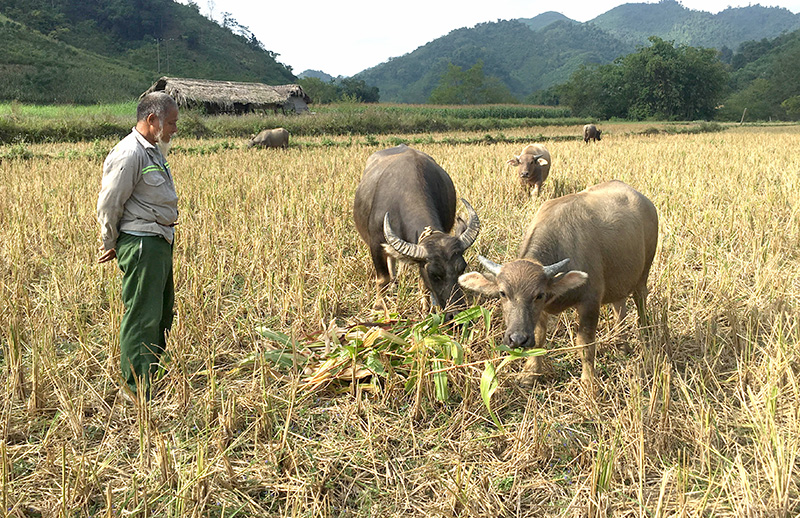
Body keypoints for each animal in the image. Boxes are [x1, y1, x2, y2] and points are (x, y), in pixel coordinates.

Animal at [356, 144, 482, 318]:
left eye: (461, 268)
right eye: (434, 274)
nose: (456, 314)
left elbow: (422, 281)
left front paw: (425, 306)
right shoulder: (375, 245)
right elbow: (382, 279)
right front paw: (379, 307)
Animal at [460, 181, 660, 388]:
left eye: (538, 294)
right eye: (502, 293)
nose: (517, 339)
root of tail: (646, 203)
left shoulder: (590, 302)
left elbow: (585, 343)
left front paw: (589, 383)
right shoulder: (542, 312)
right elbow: (539, 337)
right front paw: (530, 374)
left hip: (643, 275)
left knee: (641, 303)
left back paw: (646, 341)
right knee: (619, 307)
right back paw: (622, 345)